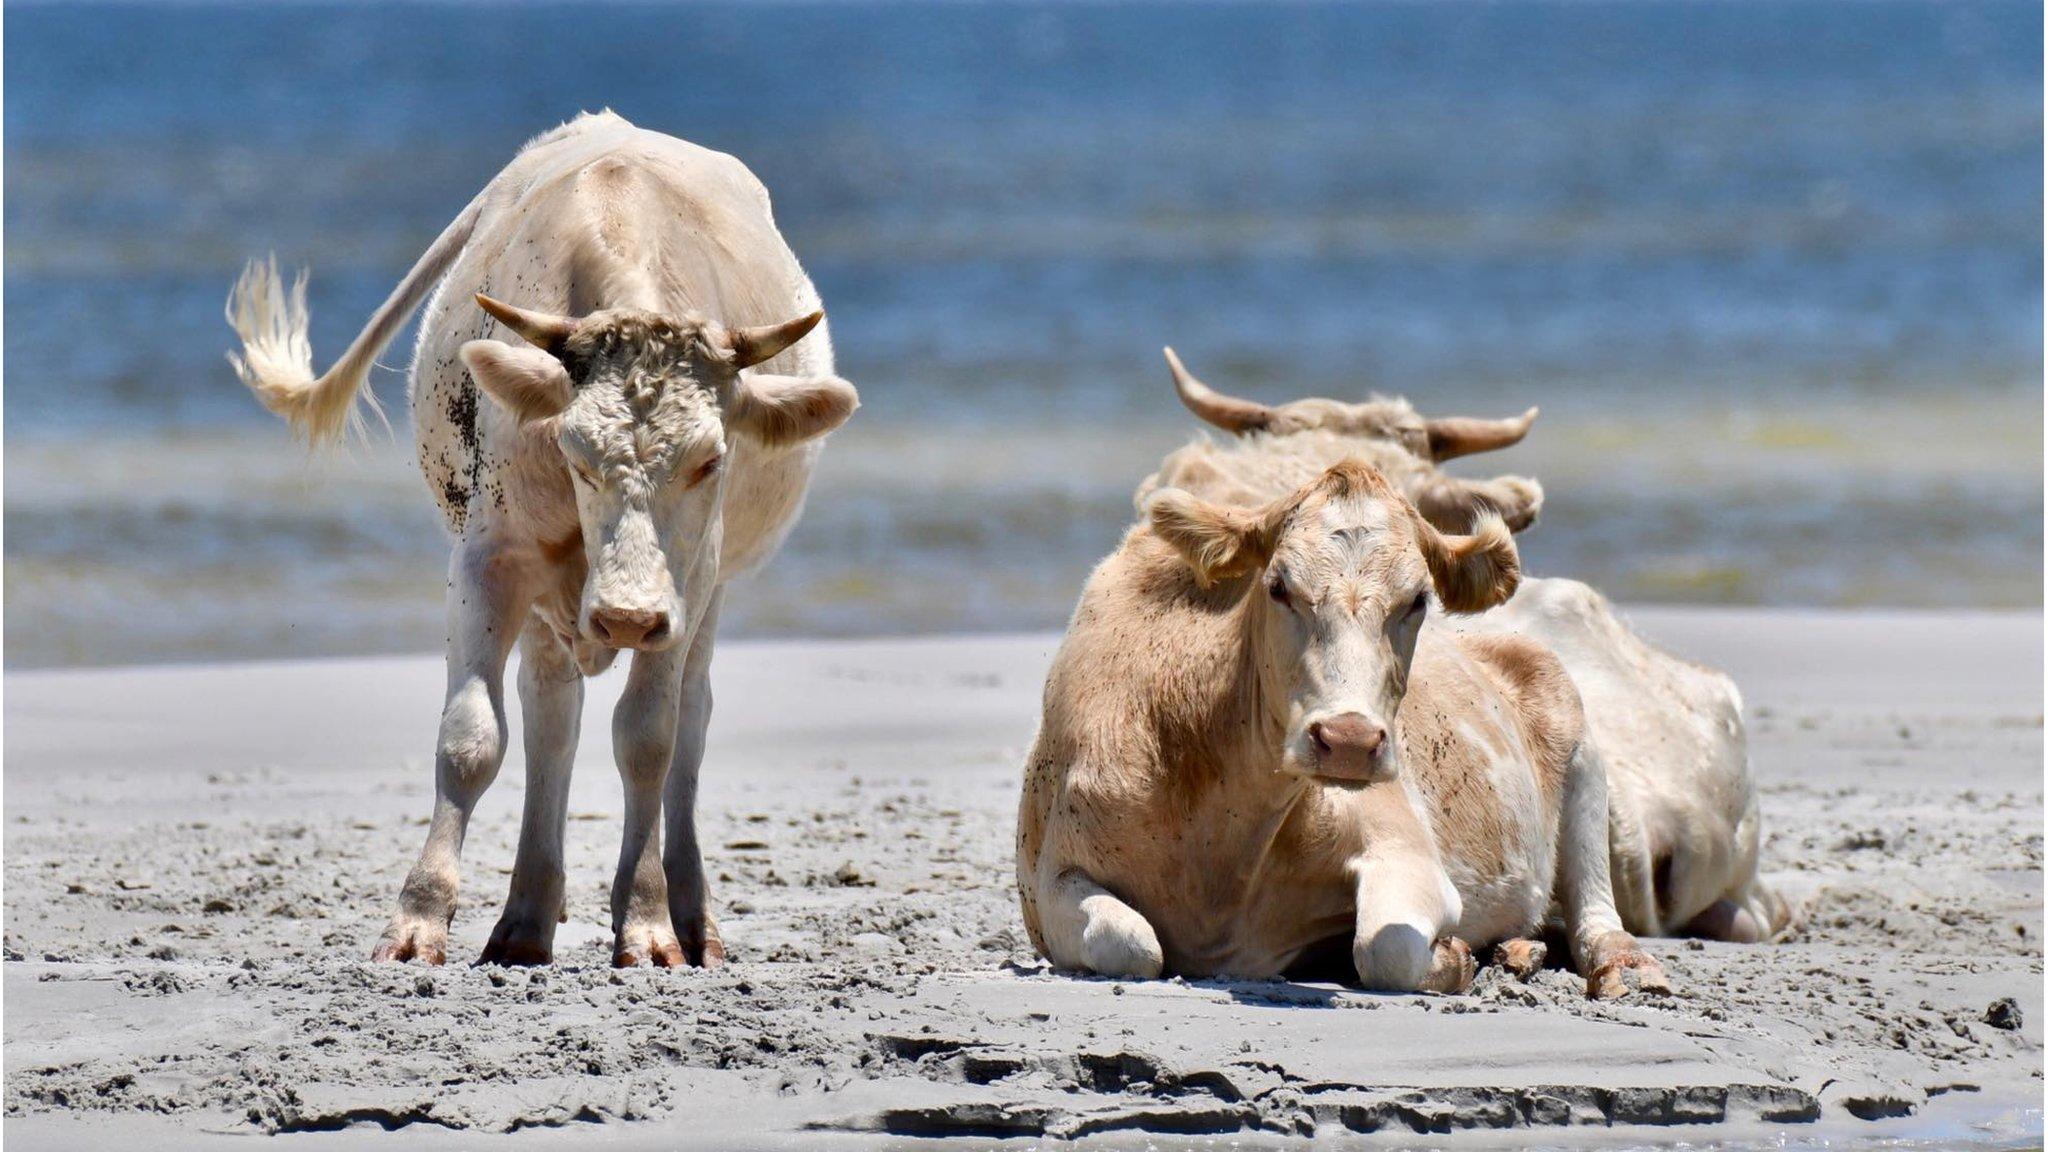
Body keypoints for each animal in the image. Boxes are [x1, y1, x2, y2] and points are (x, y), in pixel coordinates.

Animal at [224, 112, 856, 963]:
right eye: (574, 451)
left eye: (711, 459)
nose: (626, 616)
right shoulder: (490, 558)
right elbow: (471, 738)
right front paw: (417, 920)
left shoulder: (688, 585)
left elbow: (648, 740)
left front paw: (648, 924)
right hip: (550, 600)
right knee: (551, 713)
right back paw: (526, 915)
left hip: (708, 595)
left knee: (688, 722)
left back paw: (689, 916)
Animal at [1015, 457, 1671, 996]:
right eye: (1278, 586)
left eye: (1418, 600)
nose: (1350, 741)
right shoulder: (1050, 879)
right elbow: (1130, 945)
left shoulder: (1406, 851)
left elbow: (1388, 948)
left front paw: (1454, 958)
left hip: (1581, 745)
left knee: (1595, 910)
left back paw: (1620, 967)